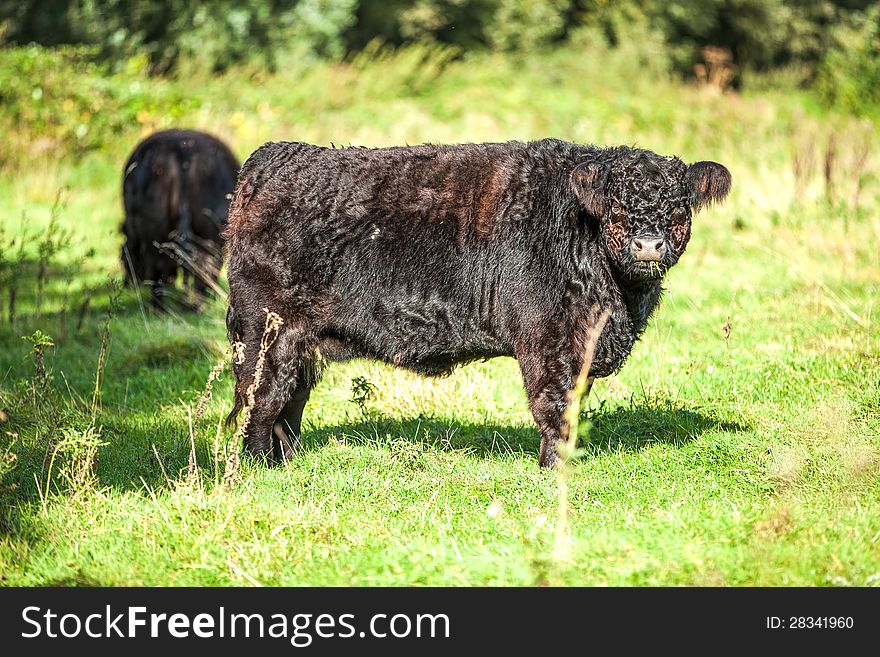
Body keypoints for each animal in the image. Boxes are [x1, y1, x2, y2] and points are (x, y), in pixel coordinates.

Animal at [120, 131, 239, 312]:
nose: (127, 283)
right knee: (203, 266)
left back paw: (159, 308)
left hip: (156, 231)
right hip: (207, 232)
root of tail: (184, 152)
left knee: (160, 266)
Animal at [225, 138, 728, 466]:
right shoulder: (547, 340)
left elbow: (572, 405)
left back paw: (286, 463)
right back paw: (257, 467)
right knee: (261, 400)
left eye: (679, 210)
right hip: (267, 333)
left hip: (302, 342)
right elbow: (554, 406)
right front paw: (555, 469)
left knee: (288, 403)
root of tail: (270, 159)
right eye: (617, 209)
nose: (649, 246)